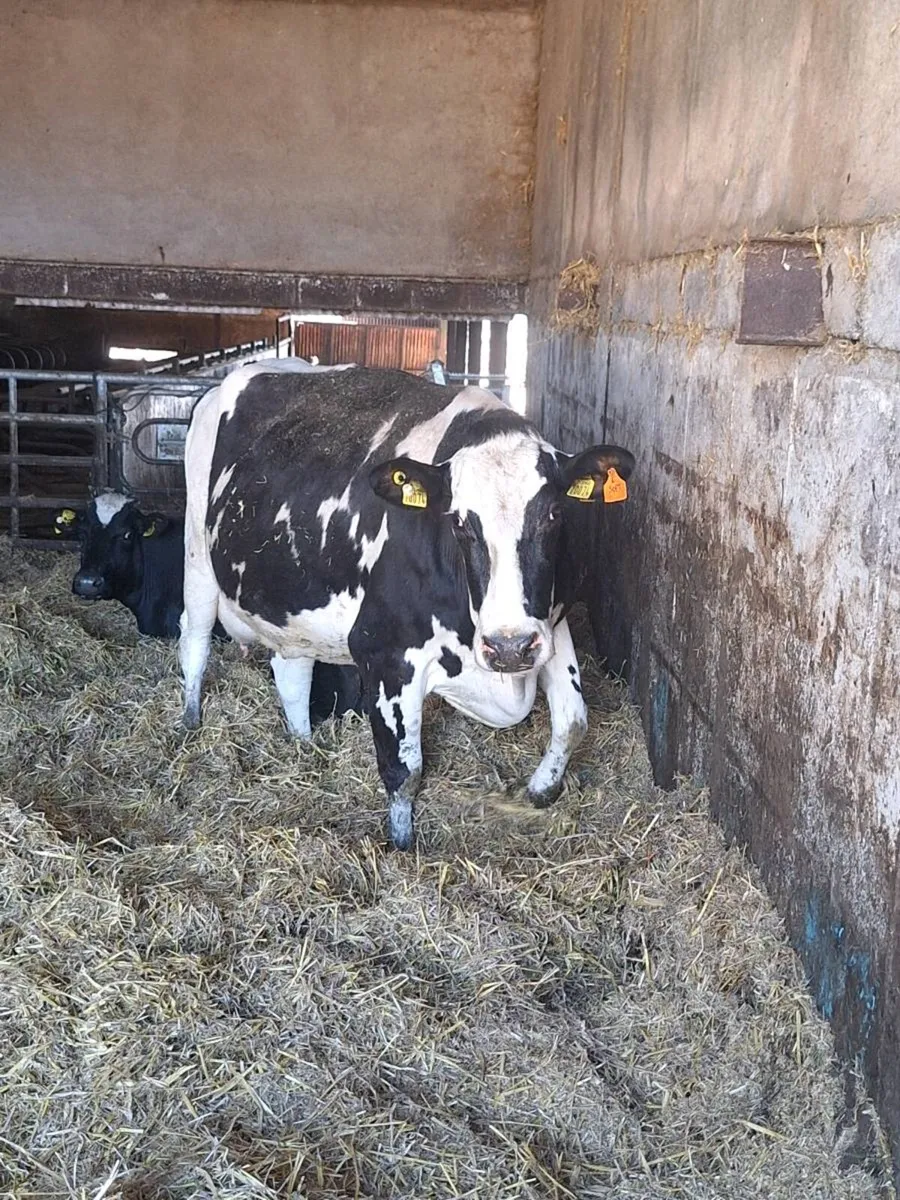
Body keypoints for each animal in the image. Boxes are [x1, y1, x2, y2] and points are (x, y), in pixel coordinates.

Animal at [179, 363, 635, 849]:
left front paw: (541, 789)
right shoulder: (383, 652)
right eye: (459, 522)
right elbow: (403, 771)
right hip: (197, 557)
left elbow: (573, 720)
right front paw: (401, 843)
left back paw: (303, 744)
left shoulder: (549, 625)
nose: (508, 649)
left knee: (291, 670)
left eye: (553, 514)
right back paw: (189, 722)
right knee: (194, 642)